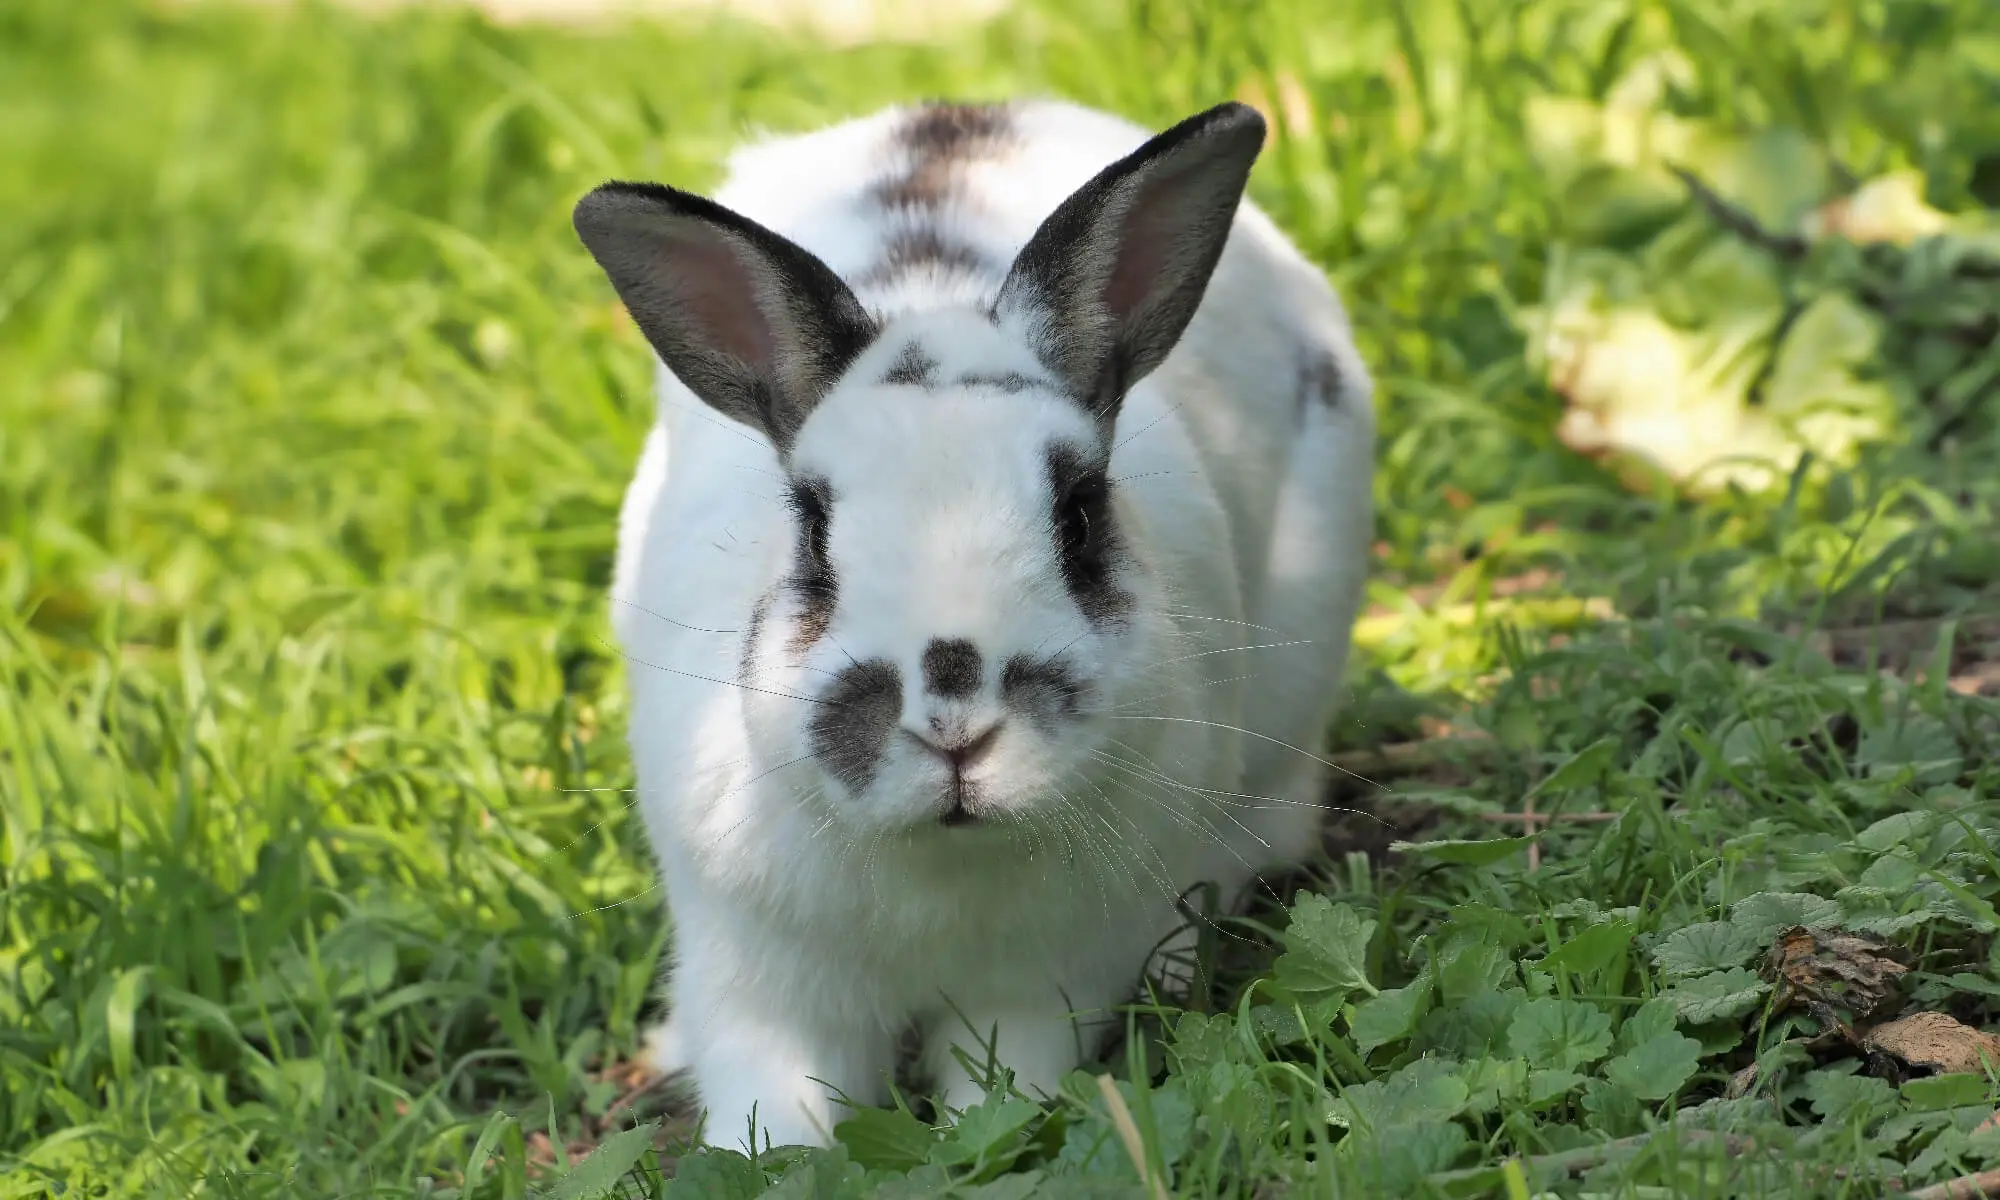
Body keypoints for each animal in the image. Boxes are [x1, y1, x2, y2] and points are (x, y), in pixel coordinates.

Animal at [573, 96, 1374, 1153]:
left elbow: (1006, 1084)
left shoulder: (1043, 985)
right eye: (812, 527)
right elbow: (772, 1114)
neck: (943, 865)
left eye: (1079, 514)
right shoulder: (760, 983)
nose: (953, 723)